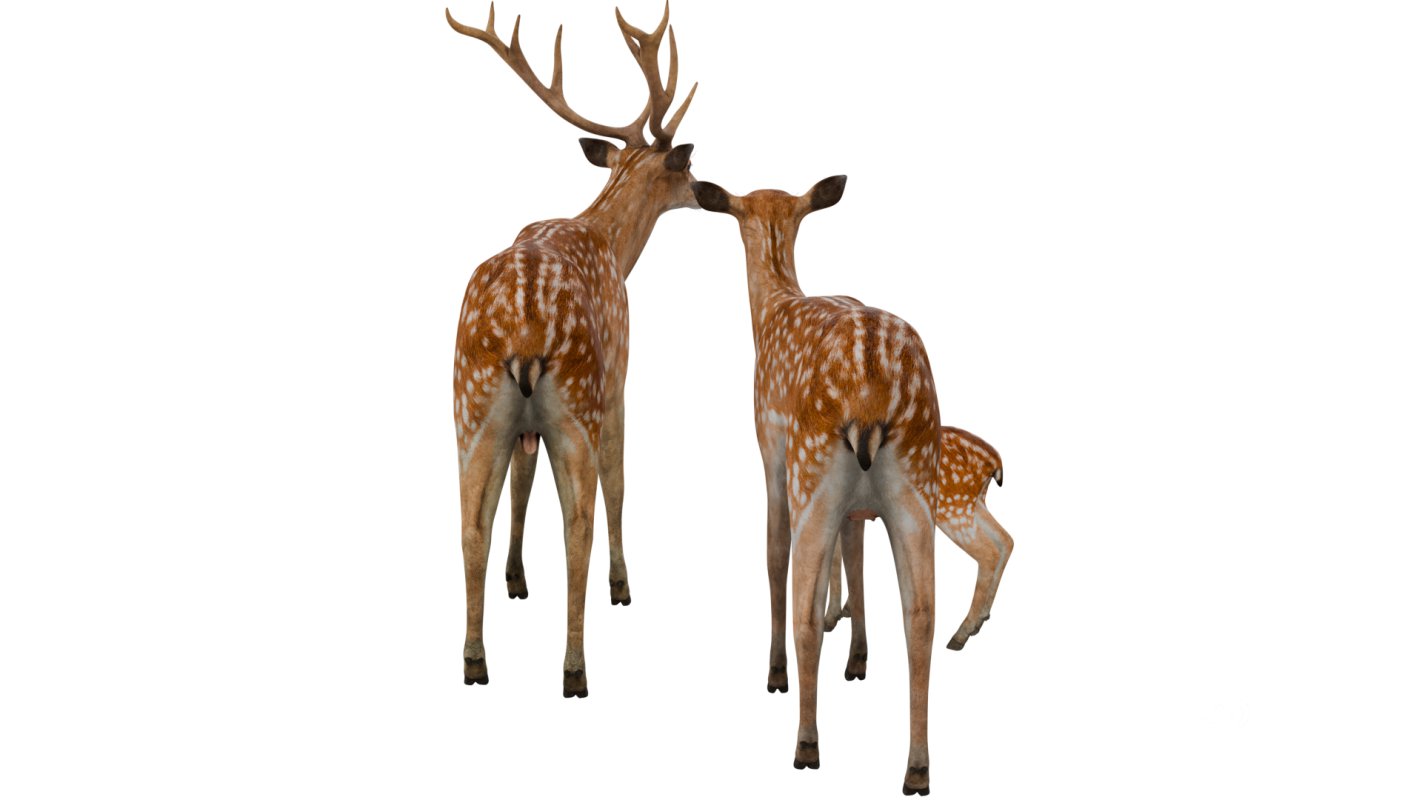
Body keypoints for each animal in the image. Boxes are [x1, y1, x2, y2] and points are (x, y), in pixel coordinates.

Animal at [446, 2, 698, 698]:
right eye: (688, 168)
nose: (707, 189)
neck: (612, 244)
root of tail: (526, 332)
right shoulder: (620, 379)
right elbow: (618, 481)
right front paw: (623, 583)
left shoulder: (519, 425)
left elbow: (519, 485)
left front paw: (515, 579)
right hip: (577, 400)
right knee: (578, 522)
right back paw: (576, 668)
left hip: (469, 405)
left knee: (469, 523)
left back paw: (475, 661)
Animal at [691, 176, 941, 796]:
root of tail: (872, 394)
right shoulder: (856, 507)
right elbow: (853, 555)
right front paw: (857, 656)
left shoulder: (770, 450)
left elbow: (773, 553)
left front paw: (775, 671)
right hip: (917, 482)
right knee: (921, 614)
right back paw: (917, 768)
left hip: (812, 472)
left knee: (803, 609)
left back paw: (805, 744)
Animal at [823, 426, 1014, 655]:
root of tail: (995, 462)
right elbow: (840, 561)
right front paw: (840, 612)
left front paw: (830, 618)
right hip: (974, 503)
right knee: (1005, 540)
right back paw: (981, 619)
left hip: (953, 507)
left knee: (989, 553)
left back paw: (961, 633)